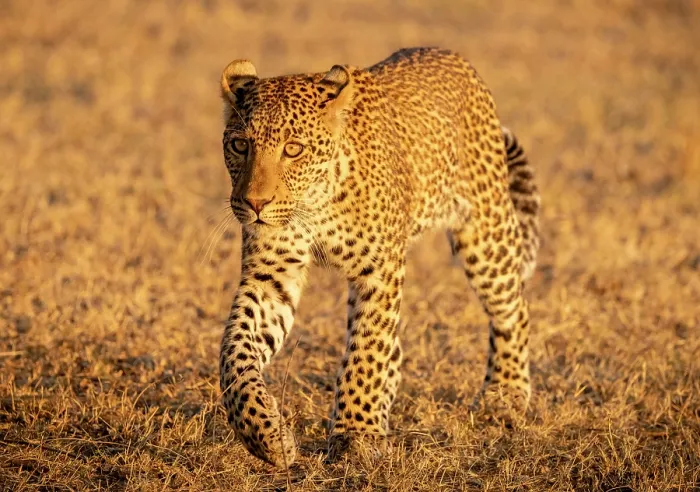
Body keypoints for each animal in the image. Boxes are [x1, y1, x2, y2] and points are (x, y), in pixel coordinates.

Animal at [217, 47, 541, 467]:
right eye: (241, 146)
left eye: (293, 149)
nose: (255, 204)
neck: (316, 204)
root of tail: (452, 56)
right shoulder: (270, 276)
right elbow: (234, 353)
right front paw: (265, 434)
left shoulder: (380, 269)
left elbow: (367, 350)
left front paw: (357, 435)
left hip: (485, 234)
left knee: (513, 309)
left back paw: (505, 395)